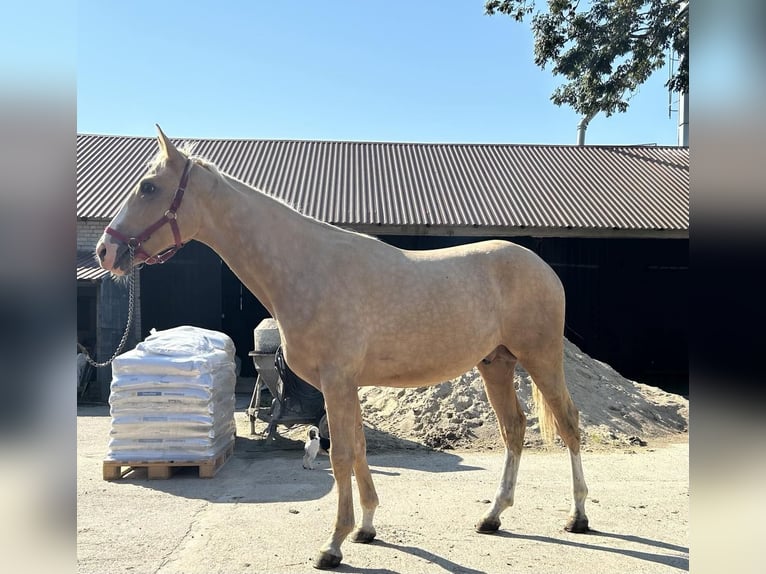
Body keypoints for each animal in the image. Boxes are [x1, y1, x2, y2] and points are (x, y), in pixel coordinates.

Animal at [94, 127, 588, 572]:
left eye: (148, 187)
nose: (104, 251)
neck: (308, 266)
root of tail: (544, 268)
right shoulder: (348, 385)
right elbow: (359, 449)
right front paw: (366, 528)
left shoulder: (336, 381)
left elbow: (340, 455)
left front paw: (333, 545)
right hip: (495, 364)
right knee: (514, 430)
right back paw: (492, 516)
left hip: (540, 358)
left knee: (568, 425)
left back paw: (578, 516)